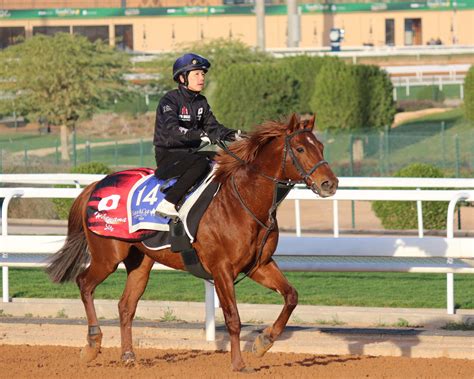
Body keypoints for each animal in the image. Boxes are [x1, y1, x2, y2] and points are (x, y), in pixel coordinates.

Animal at [46, 113, 338, 374]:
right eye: (300, 148)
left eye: (321, 146)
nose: (330, 183)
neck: (243, 200)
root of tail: (95, 185)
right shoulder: (221, 270)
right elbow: (233, 318)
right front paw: (238, 363)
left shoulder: (259, 265)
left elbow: (291, 296)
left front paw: (263, 342)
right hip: (107, 255)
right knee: (85, 284)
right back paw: (92, 344)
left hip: (140, 262)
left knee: (126, 306)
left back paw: (128, 356)